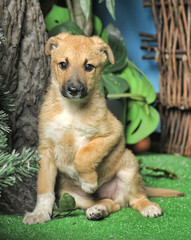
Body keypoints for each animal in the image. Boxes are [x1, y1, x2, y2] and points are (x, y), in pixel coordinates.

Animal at [22, 32, 182, 224]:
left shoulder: (113, 132)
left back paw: (149, 207)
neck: (71, 109)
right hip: (72, 196)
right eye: (63, 64)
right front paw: (39, 213)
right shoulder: (45, 149)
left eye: (88, 66)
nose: (74, 89)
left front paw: (89, 182)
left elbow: (84, 154)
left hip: (129, 165)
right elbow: (44, 186)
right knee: (113, 204)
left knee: (136, 199)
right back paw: (98, 209)